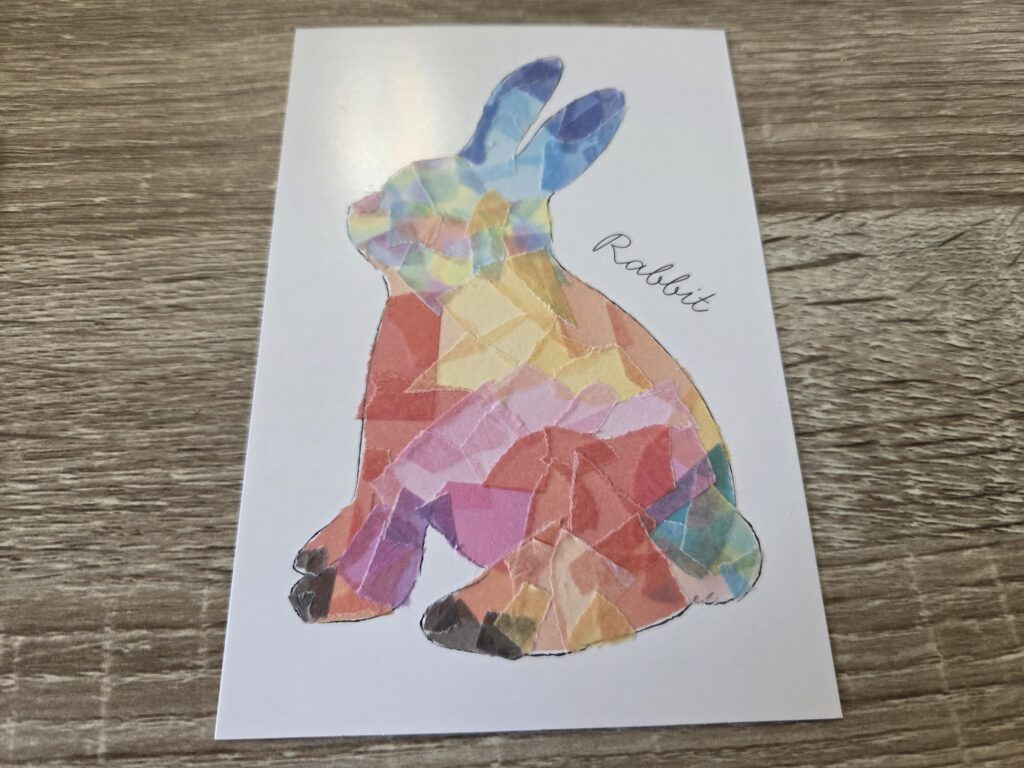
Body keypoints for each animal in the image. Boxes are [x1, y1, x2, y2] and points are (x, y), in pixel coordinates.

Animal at [289, 58, 762, 659]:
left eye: (433, 208)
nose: (357, 210)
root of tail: (734, 557)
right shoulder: (382, 451)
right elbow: (368, 511)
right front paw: (319, 573)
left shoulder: (426, 457)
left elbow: (387, 533)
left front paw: (323, 601)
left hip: (595, 486)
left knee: (610, 583)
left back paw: (470, 620)